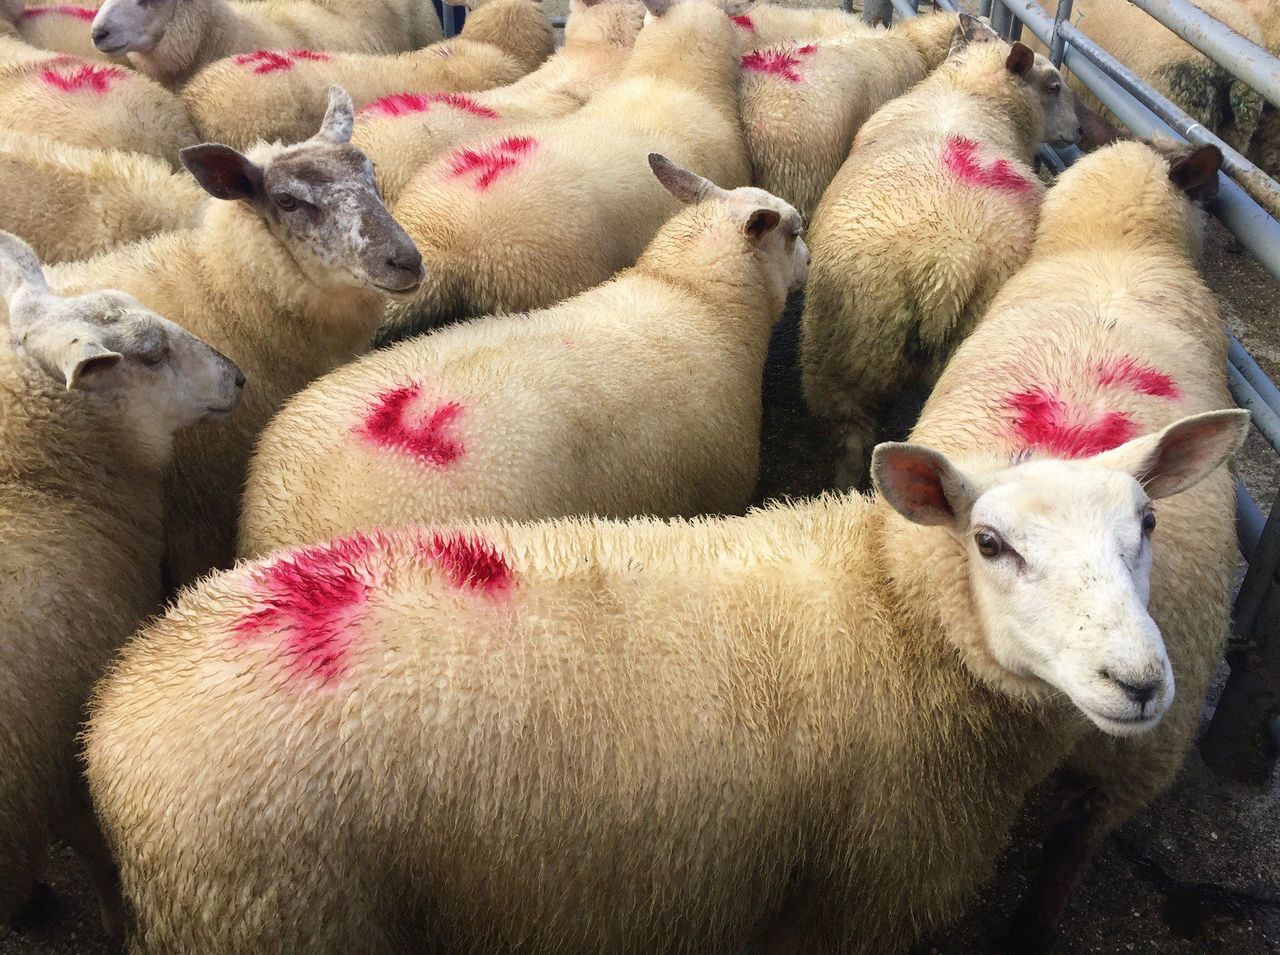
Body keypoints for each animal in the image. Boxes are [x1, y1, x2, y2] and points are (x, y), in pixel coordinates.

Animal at [0, 230, 243, 943]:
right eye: (152, 354)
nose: (238, 377)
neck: (37, 489)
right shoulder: (62, 746)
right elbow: (95, 851)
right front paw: (114, 920)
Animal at [83, 382, 1244, 951]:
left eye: (1145, 523)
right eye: (991, 543)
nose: (1139, 681)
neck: (891, 617)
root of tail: (122, 698)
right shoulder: (846, 901)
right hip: (275, 912)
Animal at [901, 137, 1240, 953]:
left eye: (1149, 524)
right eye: (989, 543)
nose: (1139, 682)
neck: (1114, 245)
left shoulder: (1126, 766)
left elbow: (1066, 856)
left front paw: (1030, 928)